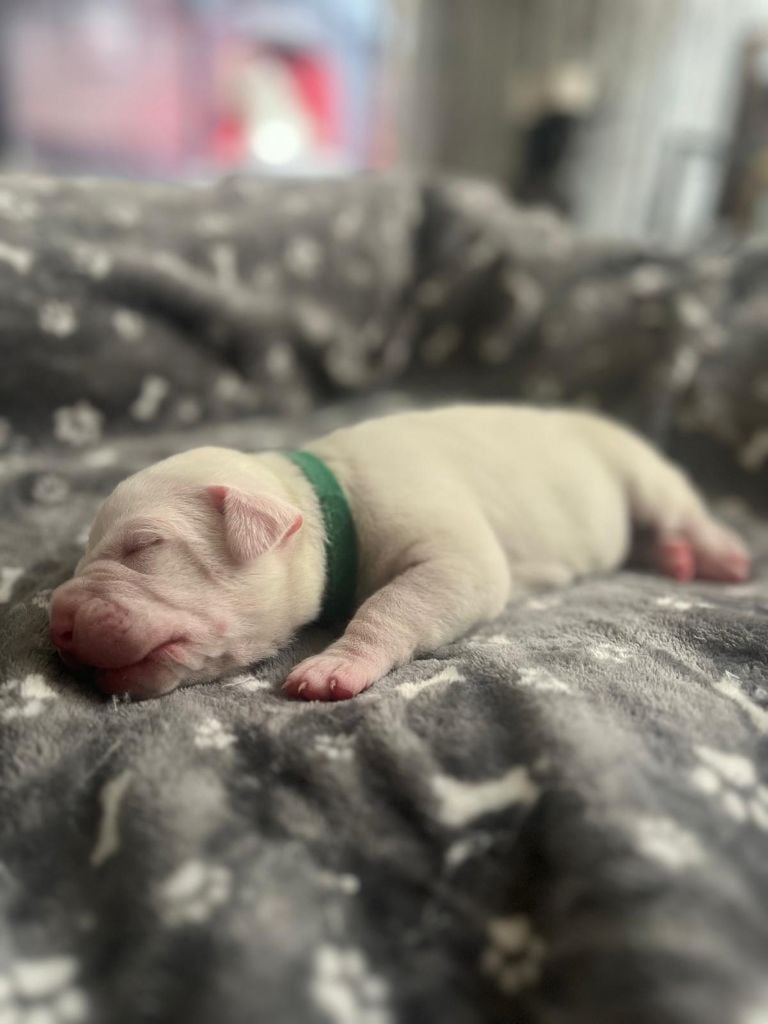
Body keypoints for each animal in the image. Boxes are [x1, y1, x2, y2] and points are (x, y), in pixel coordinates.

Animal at [50, 405, 750, 701]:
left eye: (145, 546)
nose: (56, 619)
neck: (325, 498)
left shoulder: (454, 559)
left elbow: (393, 604)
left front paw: (336, 666)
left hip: (641, 473)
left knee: (680, 508)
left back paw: (716, 556)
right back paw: (674, 559)